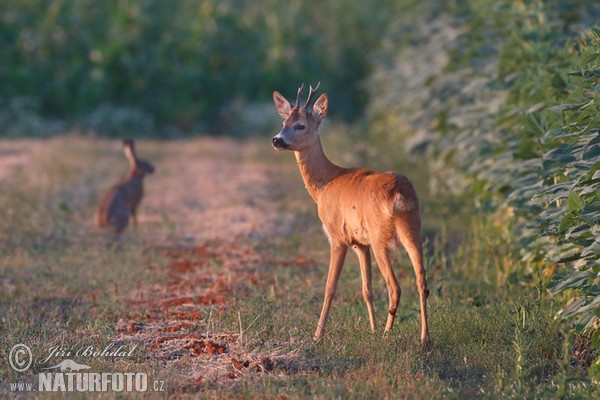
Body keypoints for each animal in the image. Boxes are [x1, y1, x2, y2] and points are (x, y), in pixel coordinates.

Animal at [272, 82, 432, 344]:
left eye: (300, 125)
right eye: (283, 122)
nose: (277, 140)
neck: (325, 184)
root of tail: (399, 193)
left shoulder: (337, 236)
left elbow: (330, 287)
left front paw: (318, 335)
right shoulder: (360, 243)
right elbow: (367, 290)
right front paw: (372, 328)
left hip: (380, 236)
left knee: (394, 286)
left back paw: (387, 335)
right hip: (413, 229)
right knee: (422, 282)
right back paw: (424, 338)